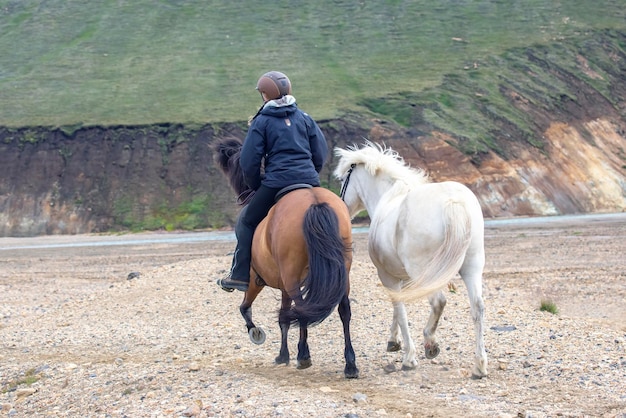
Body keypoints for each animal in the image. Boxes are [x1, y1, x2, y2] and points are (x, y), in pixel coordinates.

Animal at [213, 138, 356, 378]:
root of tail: (314, 202)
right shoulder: (283, 286)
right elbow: (284, 319)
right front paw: (283, 355)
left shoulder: (256, 280)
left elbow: (247, 309)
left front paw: (260, 336)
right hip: (341, 273)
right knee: (343, 309)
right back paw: (350, 364)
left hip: (290, 277)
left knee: (302, 309)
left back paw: (304, 355)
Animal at [332, 142, 488, 378]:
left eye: (342, 180)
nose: (341, 207)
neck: (388, 196)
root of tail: (452, 202)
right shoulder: (402, 276)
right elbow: (398, 308)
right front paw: (393, 341)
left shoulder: (387, 275)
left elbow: (399, 306)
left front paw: (408, 356)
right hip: (472, 267)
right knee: (477, 307)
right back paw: (479, 365)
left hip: (425, 270)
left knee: (438, 301)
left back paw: (430, 342)